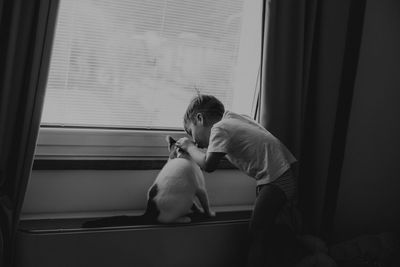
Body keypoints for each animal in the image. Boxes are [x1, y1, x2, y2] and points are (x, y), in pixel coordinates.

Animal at [83, 136, 216, 228]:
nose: (196, 142)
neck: (178, 158)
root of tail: (149, 210)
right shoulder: (200, 189)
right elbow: (205, 203)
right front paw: (209, 213)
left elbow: (196, 204)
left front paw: (198, 210)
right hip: (183, 201)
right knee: (163, 220)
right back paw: (183, 219)